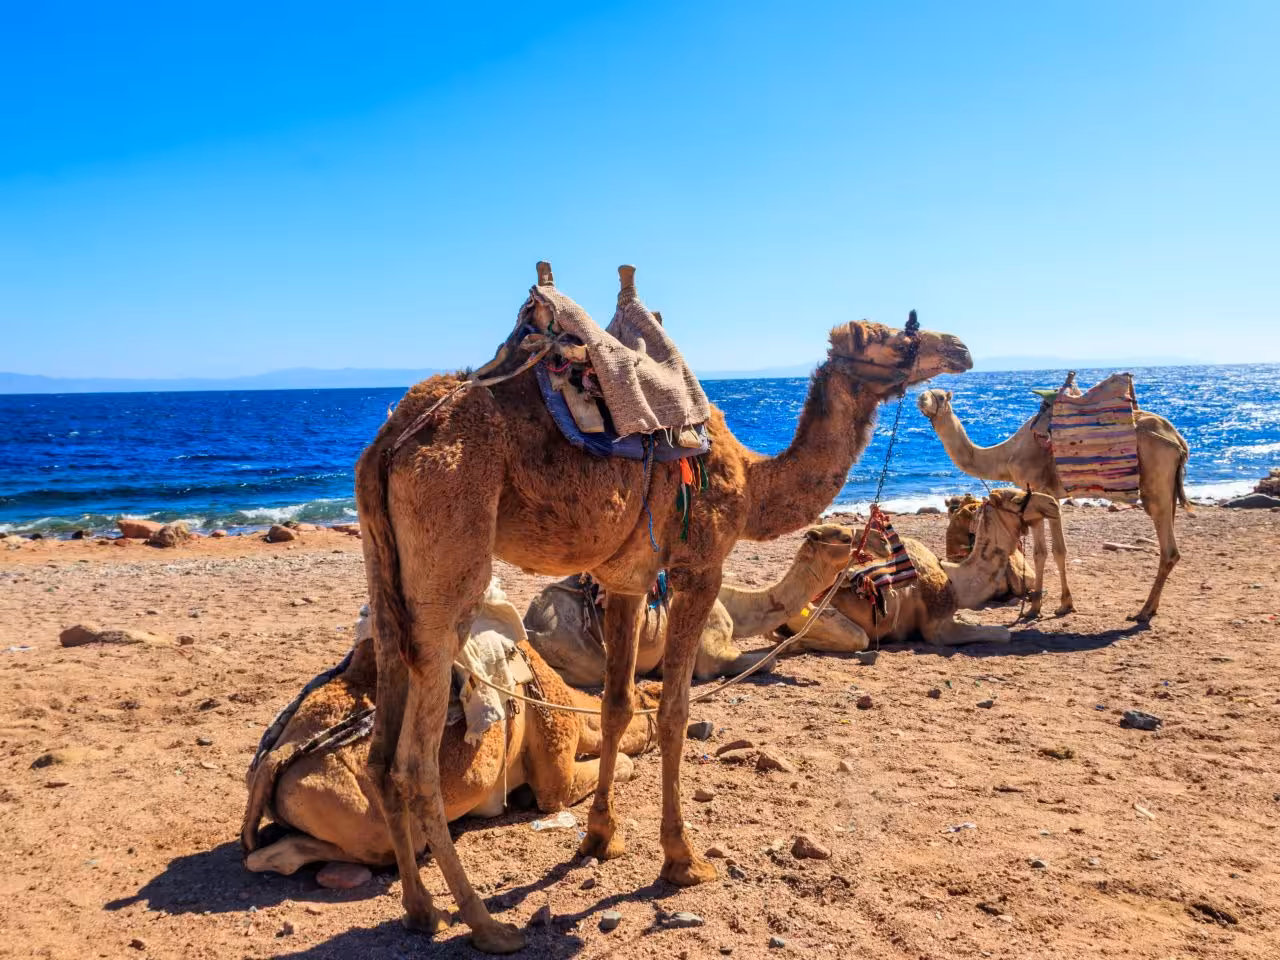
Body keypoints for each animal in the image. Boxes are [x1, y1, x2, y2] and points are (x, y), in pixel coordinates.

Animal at [777, 488, 1059, 652]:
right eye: (1019, 498)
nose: (1054, 503)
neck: (954, 578)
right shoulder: (937, 629)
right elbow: (1003, 633)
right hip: (816, 615)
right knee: (857, 639)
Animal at [917, 387, 1189, 621]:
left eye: (939, 397)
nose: (921, 399)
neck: (1006, 455)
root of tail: (1177, 439)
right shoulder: (1052, 497)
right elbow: (1059, 550)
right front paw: (1065, 605)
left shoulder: (1035, 491)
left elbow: (1040, 553)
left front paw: (1034, 608)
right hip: (1169, 488)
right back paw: (1151, 609)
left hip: (1155, 481)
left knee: (1168, 548)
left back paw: (1142, 611)